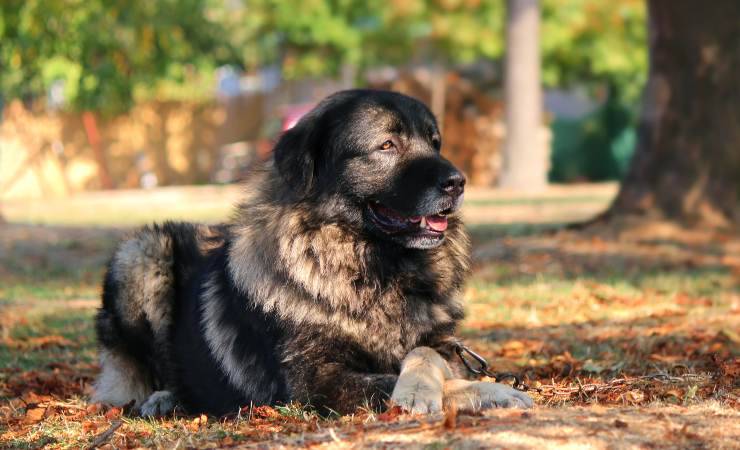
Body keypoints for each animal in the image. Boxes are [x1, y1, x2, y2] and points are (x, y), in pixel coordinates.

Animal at [92, 89, 532, 416]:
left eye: (435, 143)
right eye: (387, 145)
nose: (458, 182)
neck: (371, 269)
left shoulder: (444, 345)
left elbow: (425, 354)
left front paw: (441, 386)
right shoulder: (318, 380)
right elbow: (389, 382)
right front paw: (484, 392)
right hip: (140, 254)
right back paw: (165, 398)